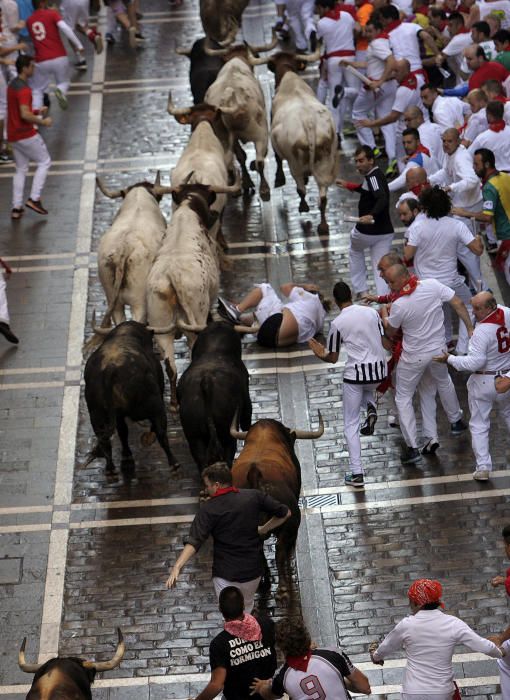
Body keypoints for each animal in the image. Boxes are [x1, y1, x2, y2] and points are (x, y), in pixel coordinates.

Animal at [83, 322, 179, 476]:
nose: (159, 354)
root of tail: (109, 368)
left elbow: (122, 432)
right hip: (153, 405)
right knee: (160, 431)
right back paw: (173, 463)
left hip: (97, 414)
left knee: (105, 438)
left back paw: (111, 467)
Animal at [177, 322, 253, 470]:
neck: (214, 349)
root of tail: (207, 382)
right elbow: (247, 417)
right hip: (226, 434)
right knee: (229, 456)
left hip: (194, 436)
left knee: (201, 461)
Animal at [231, 412, 322, 604]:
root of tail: (255, 474)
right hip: (290, 521)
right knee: (280, 550)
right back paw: (282, 588)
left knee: (259, 551)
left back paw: (263, 584)